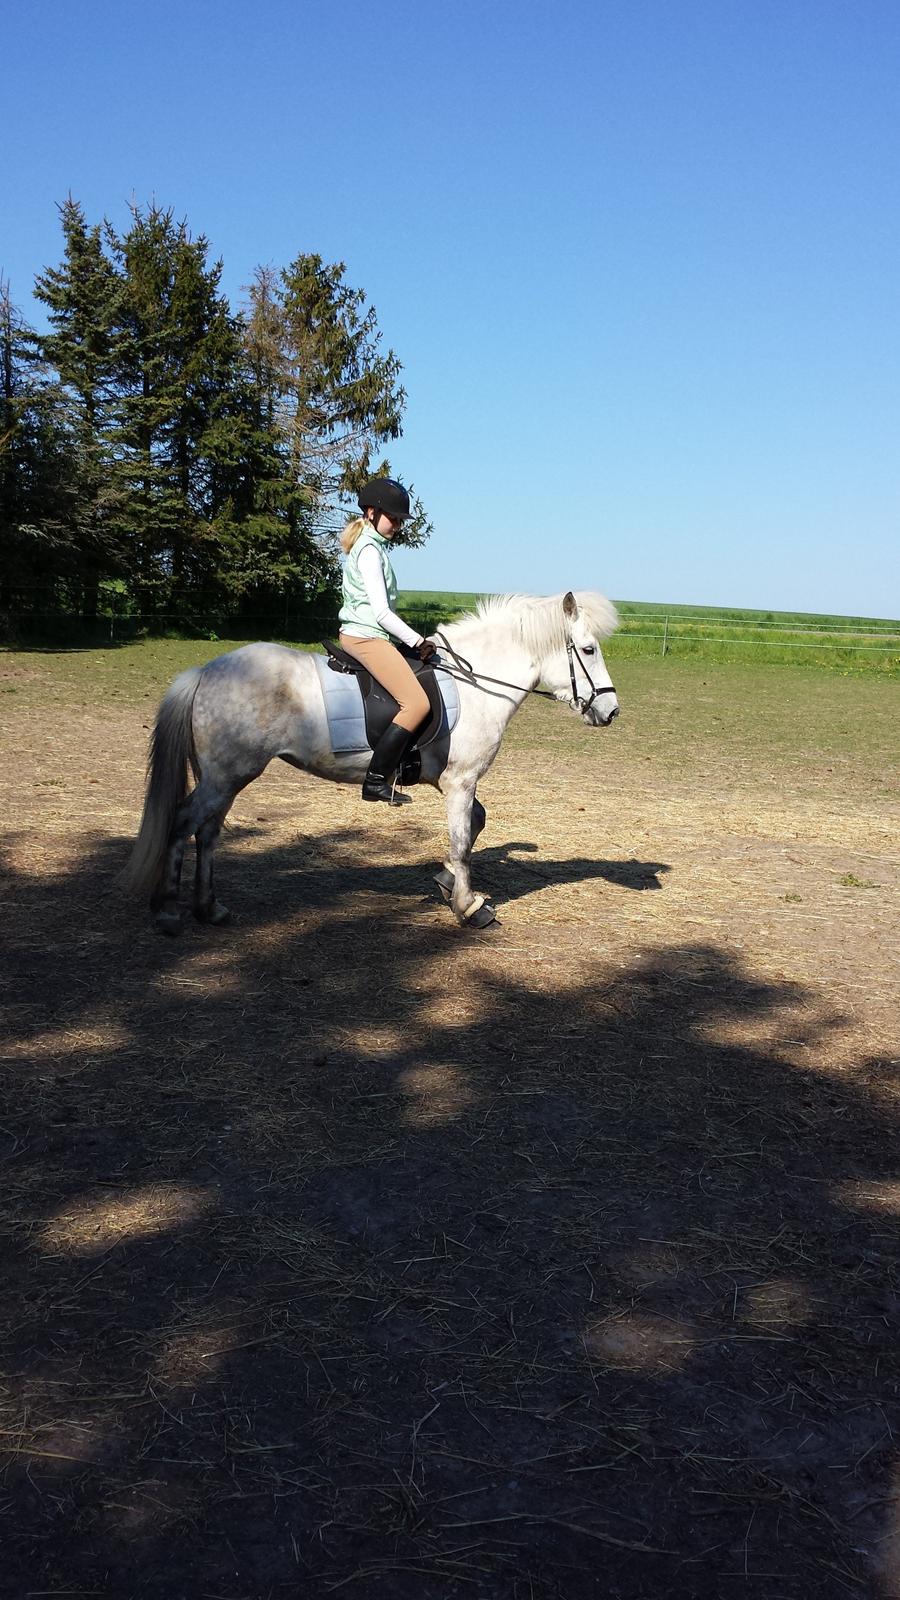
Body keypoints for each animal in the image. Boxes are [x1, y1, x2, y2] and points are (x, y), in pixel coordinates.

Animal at [122, 595, 614, 934]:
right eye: (588, 650)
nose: (611, 712)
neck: (476, 684)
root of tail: (206, 670)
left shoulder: (455, 783)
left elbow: (475, 825)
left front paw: (445, 882)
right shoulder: (461, 781)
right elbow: (461, 839)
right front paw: (469, 907)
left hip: (227, 777)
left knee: (206, 832)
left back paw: (210, 909)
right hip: (226, 776)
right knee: (184, 823)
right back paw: (168, 912)